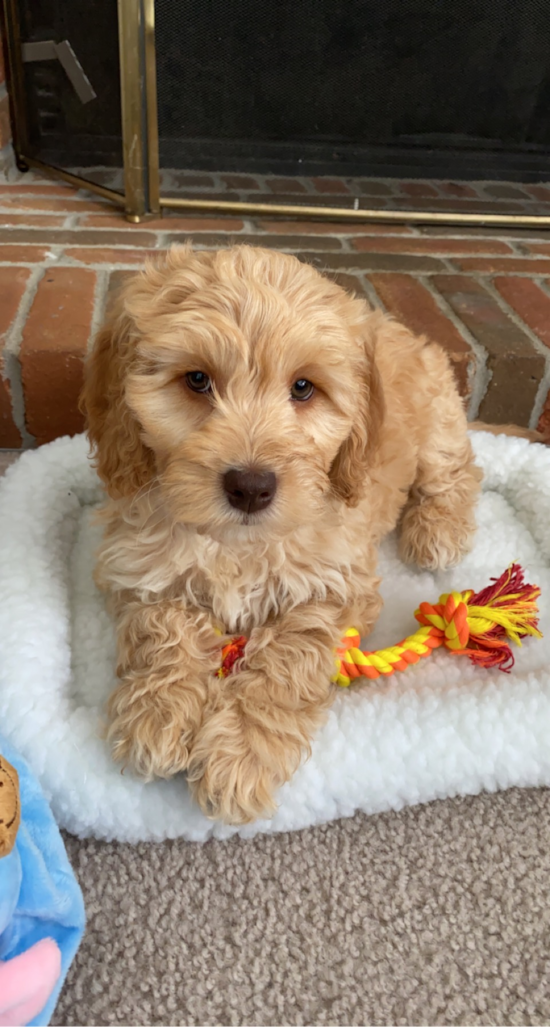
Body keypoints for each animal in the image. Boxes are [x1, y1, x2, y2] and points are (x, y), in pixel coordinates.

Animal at [82, 242, 480, 825]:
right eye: (197, 380)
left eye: (303, 387)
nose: (251, 487)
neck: (236, 543)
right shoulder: (140, 568)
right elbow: (161, 628)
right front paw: (158, 712)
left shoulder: (337, 582)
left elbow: (291, 653)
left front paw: (242, 753)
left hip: (439, 422)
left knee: (458, 473)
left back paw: (437, 531)